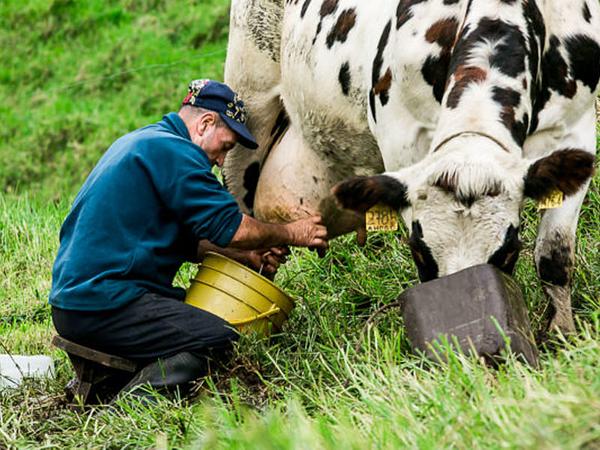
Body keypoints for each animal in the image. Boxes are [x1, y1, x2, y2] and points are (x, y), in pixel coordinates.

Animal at [221, 0, 600, 334]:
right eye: (419, 250)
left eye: (509, 250)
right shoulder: (402, 140)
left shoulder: (575, 130)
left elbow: (554, 255)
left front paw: (561, 334)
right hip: (248, 104)